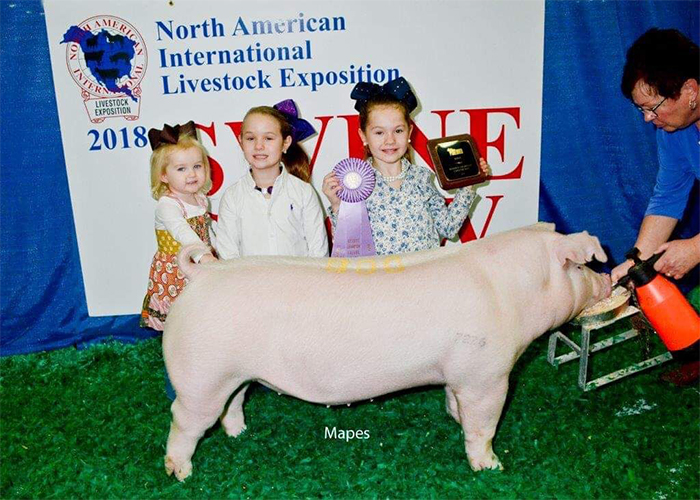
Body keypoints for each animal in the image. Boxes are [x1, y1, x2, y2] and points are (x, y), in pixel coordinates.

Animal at [162, 222, 611, 481]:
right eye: (581, 267)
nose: (608, 281)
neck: (512, 292)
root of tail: (202, 274)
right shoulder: (488, 375)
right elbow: (483, 424)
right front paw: (491, 466)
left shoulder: (459, 374)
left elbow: (455, 403)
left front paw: (453, 418)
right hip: (200, 375)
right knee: (183, 419)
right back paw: (180, 473)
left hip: (233, 373)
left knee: (233, 403)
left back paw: (240, 434)